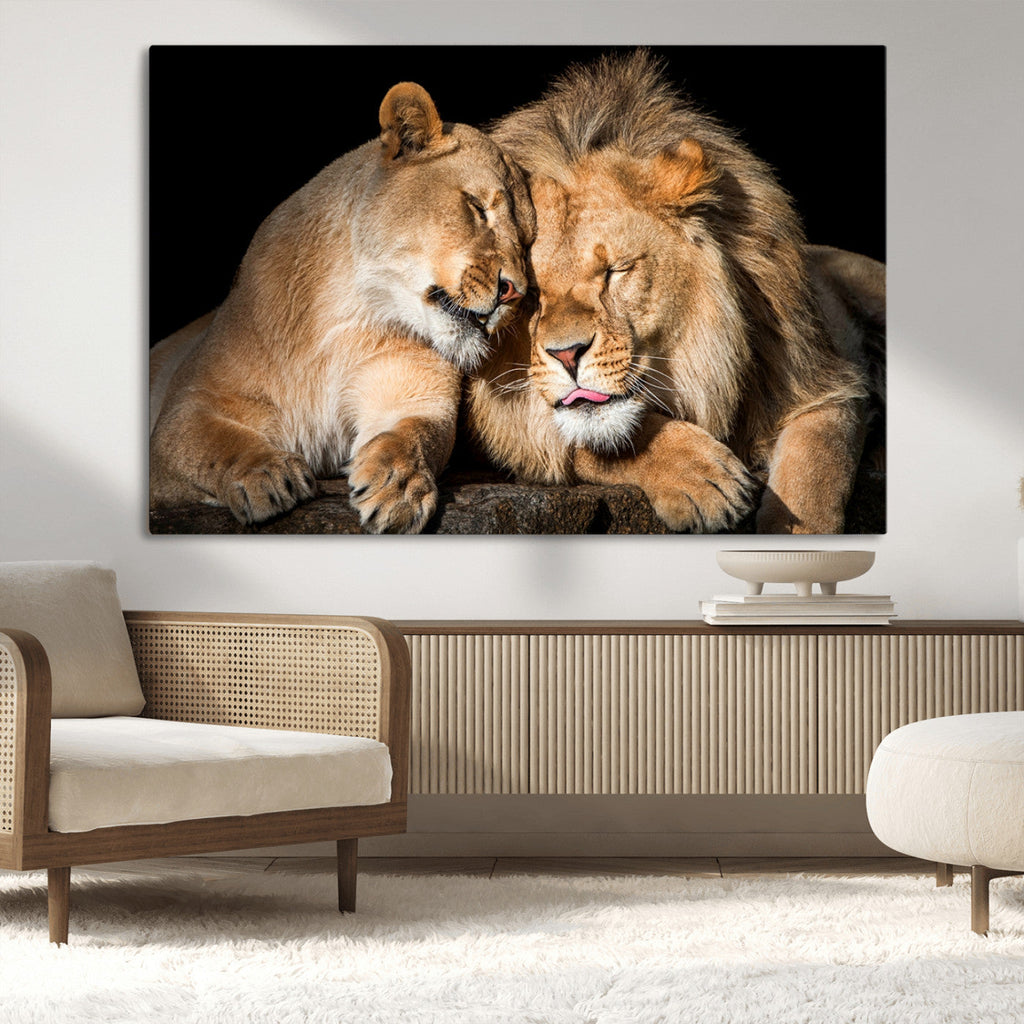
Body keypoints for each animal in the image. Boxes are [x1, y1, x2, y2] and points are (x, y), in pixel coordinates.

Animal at [149, 82, 533, 532]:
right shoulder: (186, 408)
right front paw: (265, 474)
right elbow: (214, 442)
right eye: (476, 207)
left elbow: (413, 435)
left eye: (528, 242)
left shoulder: (415, 395)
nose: (514, 292)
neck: (348, 313)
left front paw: (399, 486)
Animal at [464, 51, 885, 534]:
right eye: (530, 293)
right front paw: (702, 478)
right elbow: (601, 438)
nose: (567, 355)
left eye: (615, 271)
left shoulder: (823, 382)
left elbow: (813, 475)